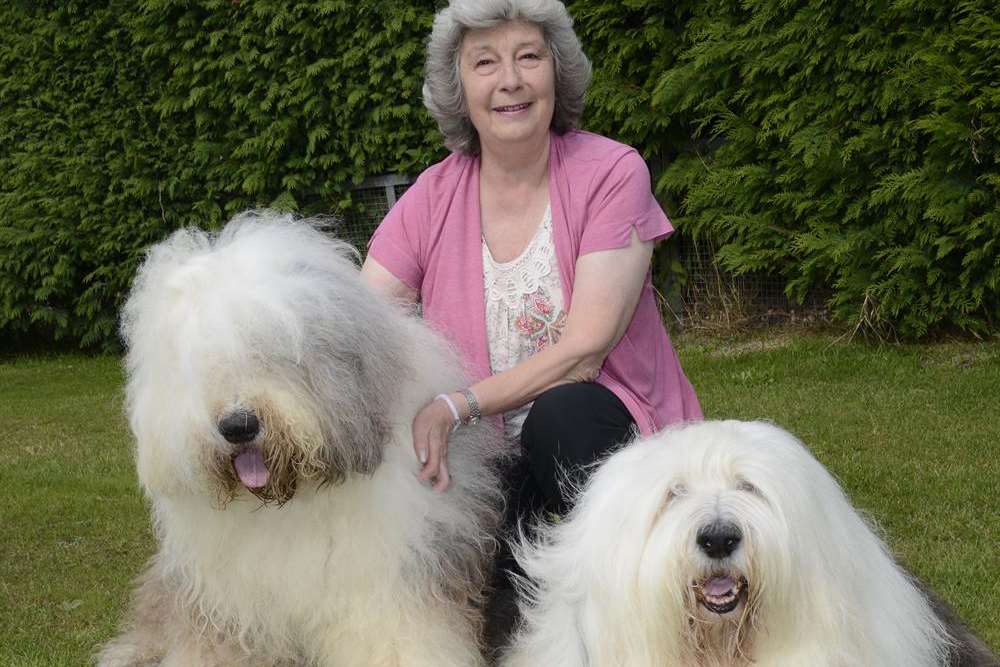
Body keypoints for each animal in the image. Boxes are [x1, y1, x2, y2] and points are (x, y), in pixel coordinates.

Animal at [98, 213, 504, 667]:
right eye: (200, 365)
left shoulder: (385, 580)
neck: (288, 502)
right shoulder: (225, 601)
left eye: (275, 351)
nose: (238, 426)